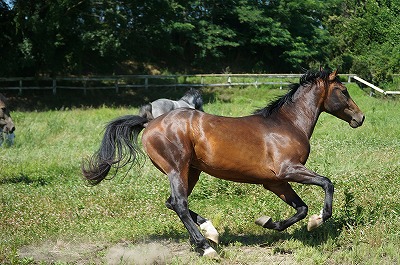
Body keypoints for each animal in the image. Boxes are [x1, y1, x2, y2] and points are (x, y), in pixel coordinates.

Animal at [83, 69, 364, 256]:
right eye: (343, 91)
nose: (360, 118)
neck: (287, 124)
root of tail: (149, 123)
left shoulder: (275, 182)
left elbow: (301, 209)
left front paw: (268, 222)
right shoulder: (289, 170)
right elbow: (327, 184)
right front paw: (319, 219)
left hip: (191, 172)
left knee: (172, 203)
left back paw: (211, 232)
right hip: (177, 168)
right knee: (180, 204)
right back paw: (206, 247)